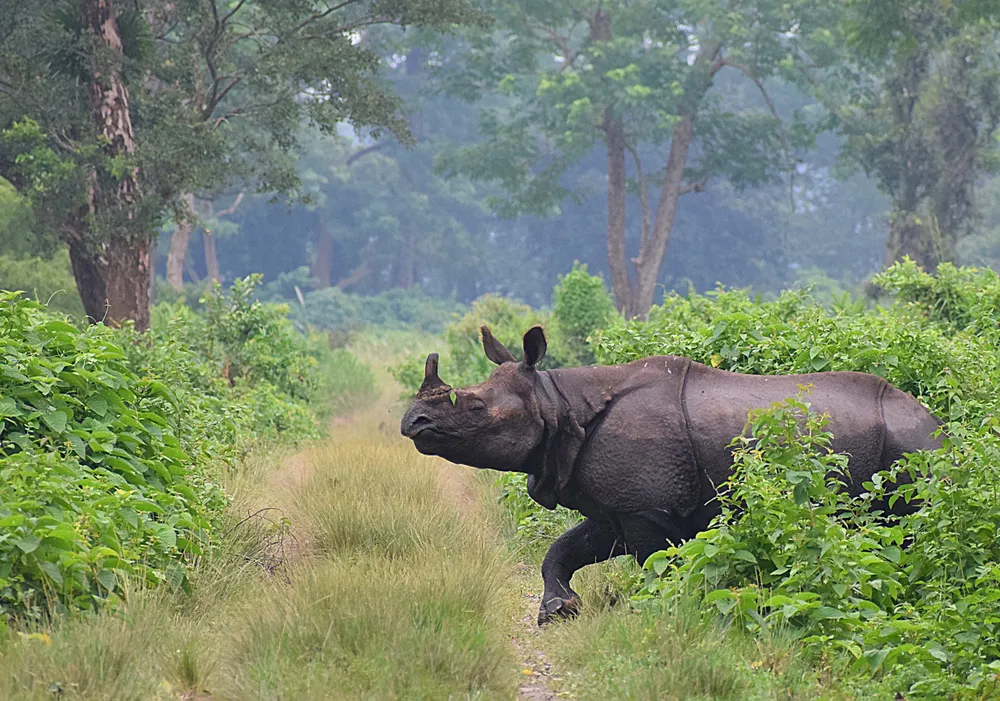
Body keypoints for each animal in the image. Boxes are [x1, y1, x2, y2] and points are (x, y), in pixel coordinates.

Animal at [398, 326, 944, 628]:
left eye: (474, 408)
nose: (412, 423)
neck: (557, 404)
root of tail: (940, 429)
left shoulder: (645, 508)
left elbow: (652, 565)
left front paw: (652, 614)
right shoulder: (616, 506)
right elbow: (565, 549)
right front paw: (560, 612)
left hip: (911, 450)